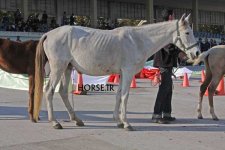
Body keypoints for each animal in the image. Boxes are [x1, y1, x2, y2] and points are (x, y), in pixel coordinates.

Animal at [33, 14, 199, 131]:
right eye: (187, 32)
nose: (197, 53)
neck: (137, 41)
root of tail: (48, 34)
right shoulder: (128, 72)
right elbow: (125, 96)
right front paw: (126, 123)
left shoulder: (122, 73)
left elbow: (119, 95)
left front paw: (118, 121)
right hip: (58, 68)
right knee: (49, 90)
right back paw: (55, 122)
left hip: (67, 68)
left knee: (62, 92)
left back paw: (77, 120)